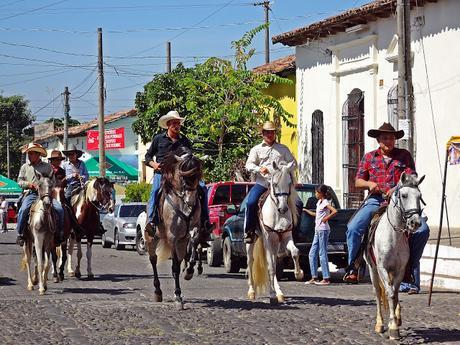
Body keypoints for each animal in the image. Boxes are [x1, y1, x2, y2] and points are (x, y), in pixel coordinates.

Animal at [246, 162, 304, 304]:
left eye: (289, 183)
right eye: (275, 183)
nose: (283, 208)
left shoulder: (286, 236)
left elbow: (295, 252)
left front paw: (298, 274)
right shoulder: (268, 239)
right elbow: (270, 267)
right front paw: (271, 294)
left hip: (276, 244)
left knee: (274, 260)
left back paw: (279, 293)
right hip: (252, 241)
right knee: (251, 262)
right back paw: (252, 292)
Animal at [364, 172, 426, 338]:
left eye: (420, 196)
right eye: (404, 195)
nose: (415, 223)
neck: (393, 236)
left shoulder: (400, 269)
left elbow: (396, 293)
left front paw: (396, 321)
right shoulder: (382, 268)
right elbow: (390, 293)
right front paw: (392, 328)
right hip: (373, 270)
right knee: (378, 293)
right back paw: (379, 324)